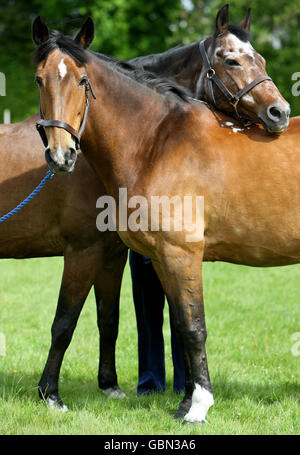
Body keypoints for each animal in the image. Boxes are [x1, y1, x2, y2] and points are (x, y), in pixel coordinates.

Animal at [0, 4, 288, 414]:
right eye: (231, 60)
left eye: (83, 81)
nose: (280, 112)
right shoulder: (87, 250)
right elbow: (68, 322)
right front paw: (51, 394)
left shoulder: (111, 252)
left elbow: (109, 319)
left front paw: (111, 387)